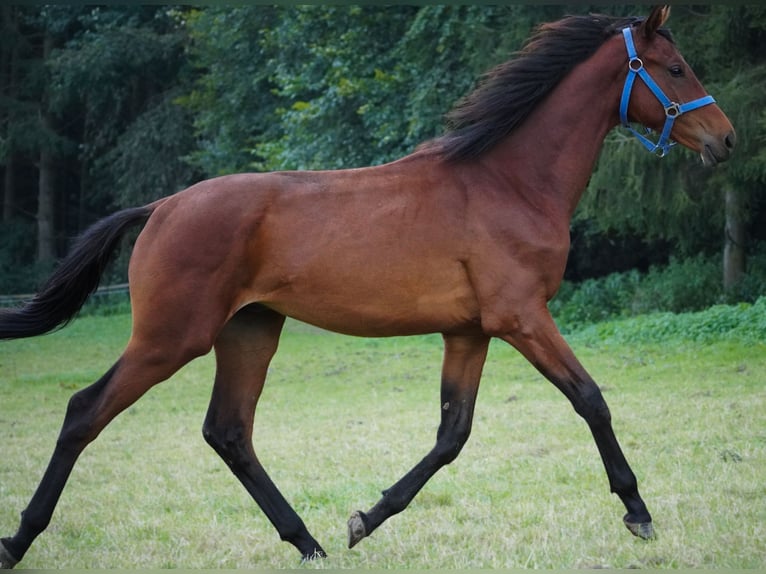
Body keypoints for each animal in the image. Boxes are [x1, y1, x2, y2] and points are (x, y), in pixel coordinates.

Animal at [0, 6, 736, 568]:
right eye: (675, 68)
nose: (726, 140)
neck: (508, 182)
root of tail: (160, 207)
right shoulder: (522, 317)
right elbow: (590, 400)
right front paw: (638, 511)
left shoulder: (469, 331)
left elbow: (451, 435)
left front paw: (366, 517)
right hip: (170, 336)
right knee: (85, 411)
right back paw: (18, 540)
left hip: (250, 330)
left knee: (229, 431)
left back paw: (309, 542)